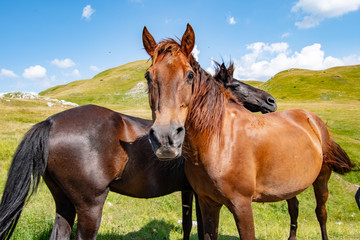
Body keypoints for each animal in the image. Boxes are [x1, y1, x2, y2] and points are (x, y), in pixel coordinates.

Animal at [0, 66, 274, 239]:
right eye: (236, 85)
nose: (270, 101)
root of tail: (50, 122)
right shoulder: (200, 193)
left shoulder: (188, 190)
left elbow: (187, 225)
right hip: (90, 206)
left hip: (64, 203)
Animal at [141, 23, 358, 239]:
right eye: (148, 76)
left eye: (190, 75)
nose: (165, 138)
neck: (219, 142)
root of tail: (314, 120)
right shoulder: (207, 202)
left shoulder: (242, 205)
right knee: (294, 208)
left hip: (322, 178)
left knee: (321, 213)